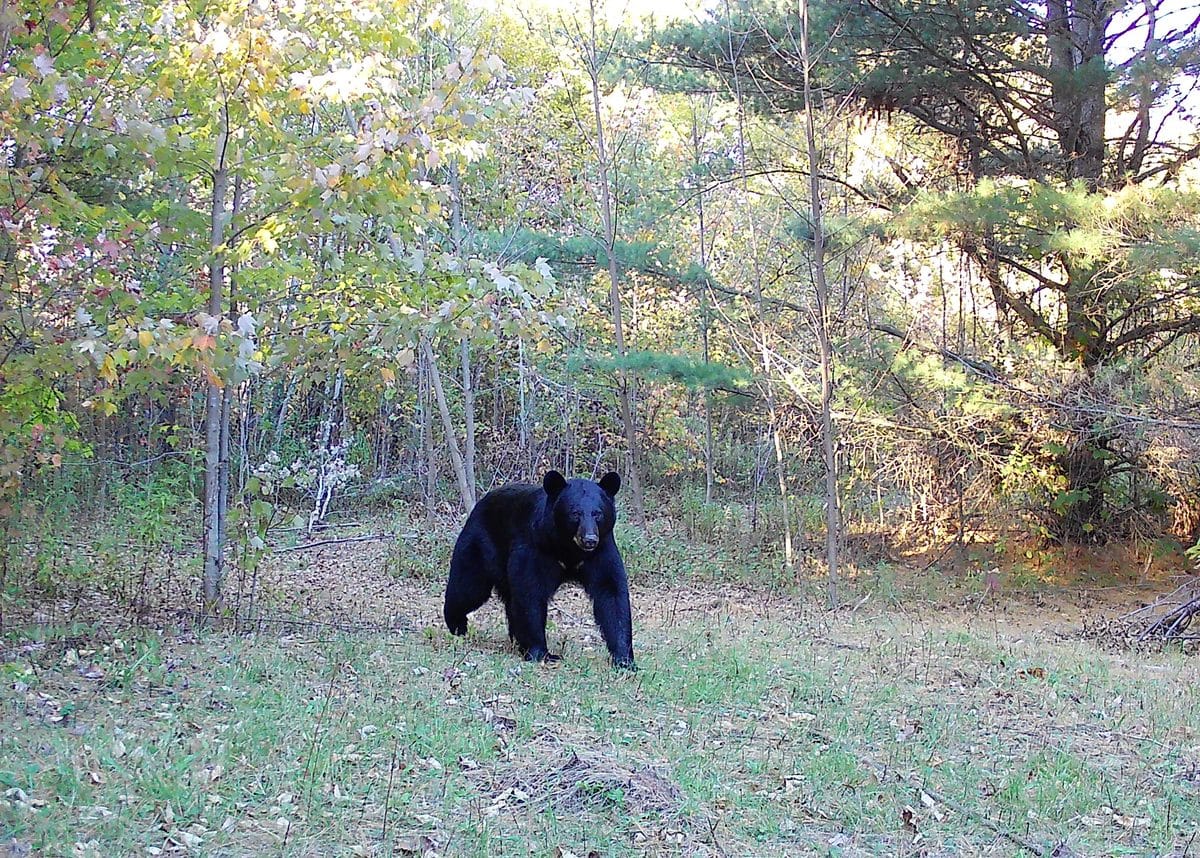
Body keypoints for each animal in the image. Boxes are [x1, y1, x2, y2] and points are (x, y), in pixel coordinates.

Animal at [443, 470, 636, 670]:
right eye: (575, 513)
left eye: (598, 513)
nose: (589, 539)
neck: (569, 549)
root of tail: (479, 504)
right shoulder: (536, 547)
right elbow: (531, 592)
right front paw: (541, 653)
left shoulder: (601, 552)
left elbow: (611, 594)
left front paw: (624, 659)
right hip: (481, 545)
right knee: (469, 588)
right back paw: (457, 625)